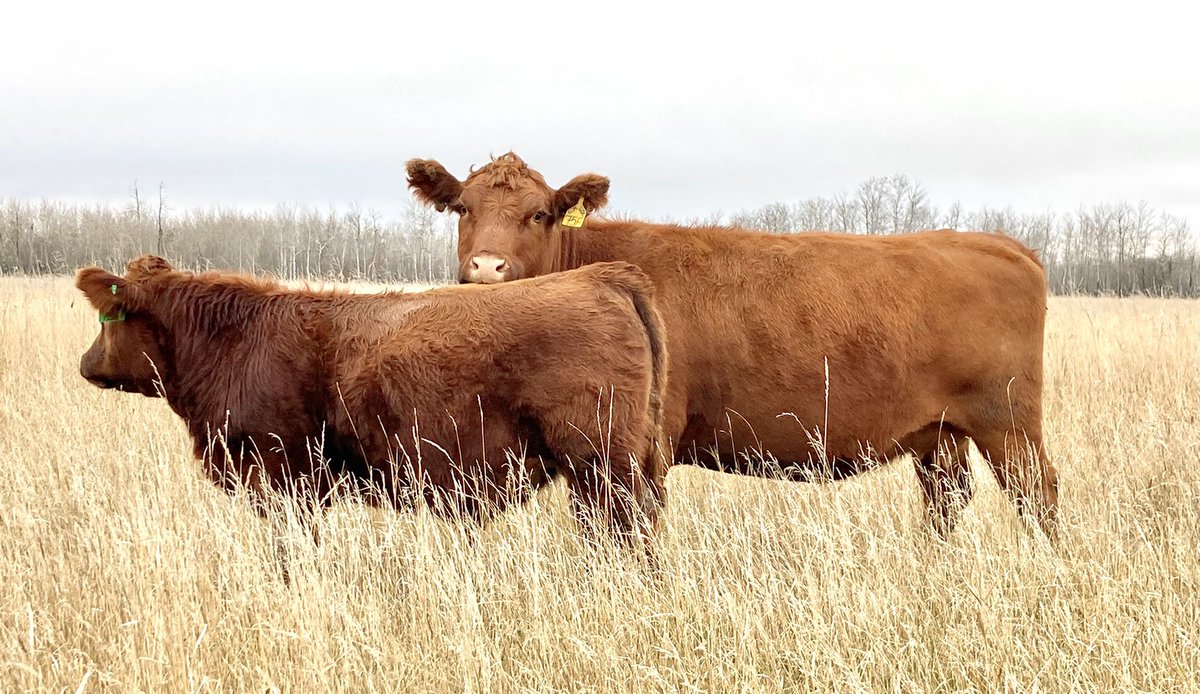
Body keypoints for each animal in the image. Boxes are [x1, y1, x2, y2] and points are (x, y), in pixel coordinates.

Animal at [76, 255, 668, 550]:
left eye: (108, 319)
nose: (85, 365)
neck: (237, 340)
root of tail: (604, 274)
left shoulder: (281, 478)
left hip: (600, 466)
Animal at [406, 153, 1059, 540]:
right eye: (462, 208)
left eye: (539, 214)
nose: (486, 268)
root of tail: (1001, 244)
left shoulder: (643, 443)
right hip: (939, 436)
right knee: (946, 503)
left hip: (1009, 425)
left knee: (1040, 494)